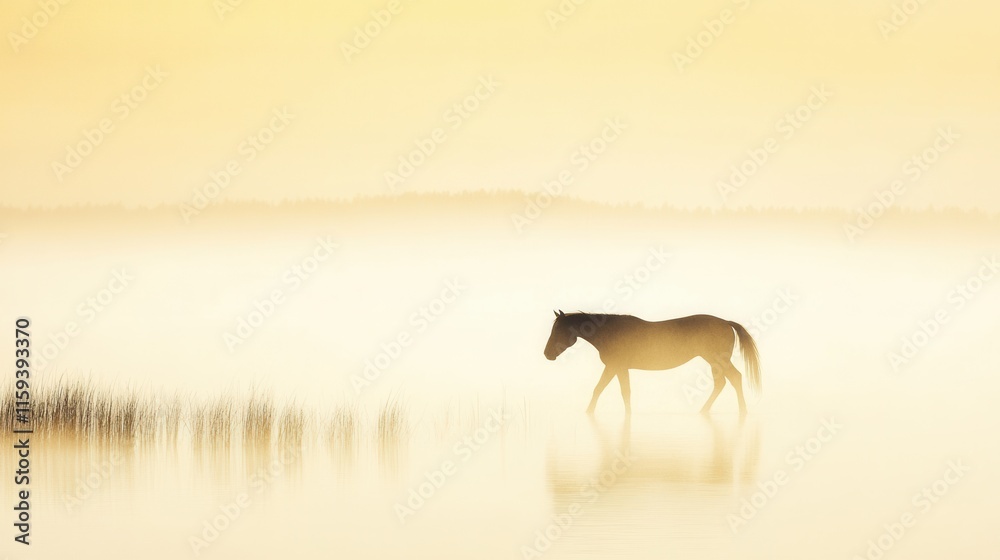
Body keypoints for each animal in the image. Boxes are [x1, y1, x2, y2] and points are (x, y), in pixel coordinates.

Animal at [543, 310, 761, 416]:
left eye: (558, 330)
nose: (547, 354)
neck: (609, 332)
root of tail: (725, 322)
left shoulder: (614, 367)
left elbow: (601, 389)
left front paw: (588, 412)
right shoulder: (619, 368)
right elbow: (622, 391)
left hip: (716, 359)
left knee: (733, 378)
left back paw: (740, 412)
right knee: (723, 382)